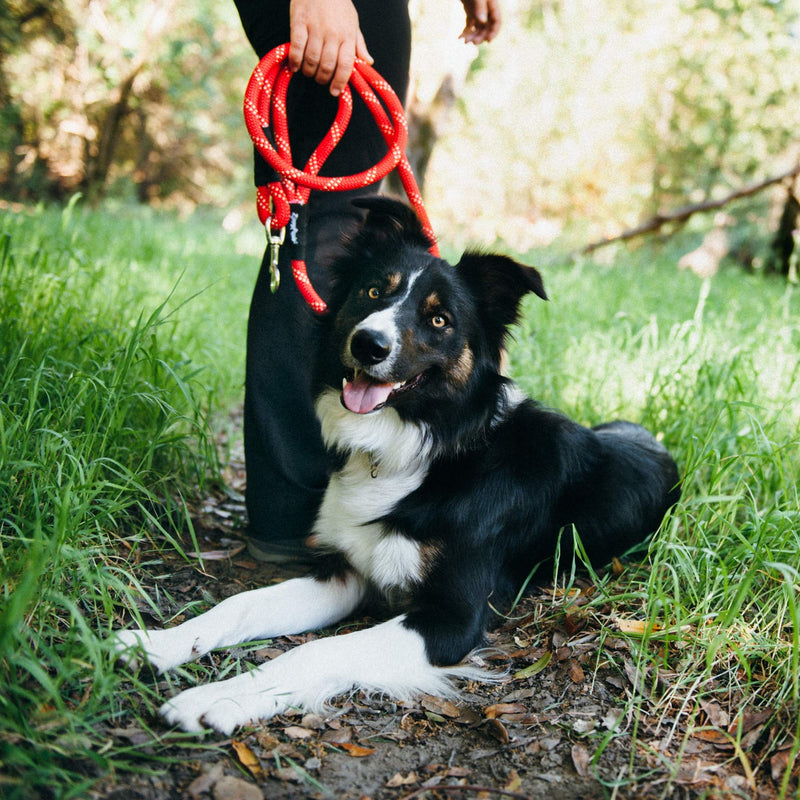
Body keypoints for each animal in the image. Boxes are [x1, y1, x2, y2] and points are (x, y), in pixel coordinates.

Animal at [115, 198, 680, 732]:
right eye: (372, 293)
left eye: (439, 319)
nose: (368, 343)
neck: (421, 448)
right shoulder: (346, 572)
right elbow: (241, 604)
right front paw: (158, 643)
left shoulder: (450, 618)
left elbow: (318, 649)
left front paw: (218, 700)